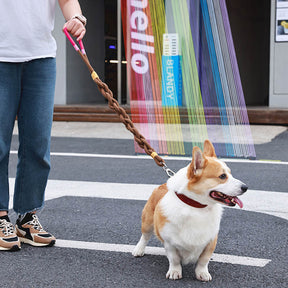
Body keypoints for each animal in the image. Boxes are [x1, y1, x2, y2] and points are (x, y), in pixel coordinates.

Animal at [133, 140, 248, 282]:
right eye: (222, 176)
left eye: (230, 174)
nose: (245, 187)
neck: (197, 207)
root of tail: (162, 185)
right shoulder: (170, 243)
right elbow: (174, 259)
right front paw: (175, 272)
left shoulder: (210, 241)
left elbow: (203, 260)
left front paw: (202, 273)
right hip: (148, 222)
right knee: (145, 236)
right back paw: (138, 250)